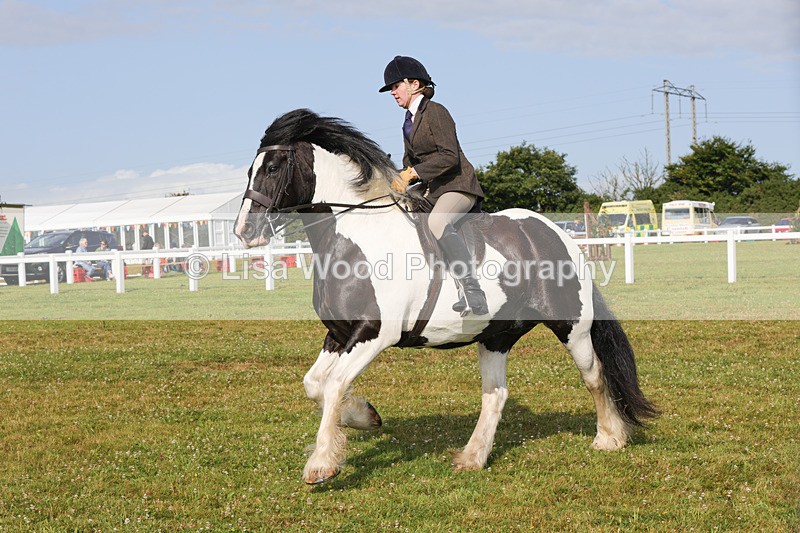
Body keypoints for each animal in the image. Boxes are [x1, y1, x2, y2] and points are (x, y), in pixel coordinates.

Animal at [234, 109, 658, 485]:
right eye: (251, 170)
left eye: (273, 168)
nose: (243, 231)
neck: (355, 237)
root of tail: (558, 234)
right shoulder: (339, 334)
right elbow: (315, 384)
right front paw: (365, 416)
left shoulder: (374, 333)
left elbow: (335, 384)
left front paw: (322, 464)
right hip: (496, 335)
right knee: (496, 394)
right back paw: (473, 457)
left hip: (571, 326)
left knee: (595, 375)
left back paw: (609, 438)